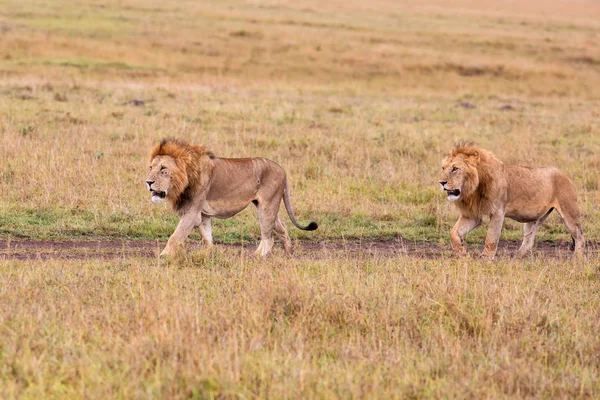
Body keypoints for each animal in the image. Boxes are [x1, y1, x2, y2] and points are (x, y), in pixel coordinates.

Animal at [146, 139, 318, 258]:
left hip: (267, 207)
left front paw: (163, 256)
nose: (148, 182)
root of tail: (282, 169)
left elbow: (175, 236)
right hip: (269, 206)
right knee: (282, 228)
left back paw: (258, 257)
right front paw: (208, 255)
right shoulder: (202, 215)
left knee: (269, 238)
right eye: (151, 168)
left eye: (163, 168)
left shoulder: (191, 213)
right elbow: (207, 238)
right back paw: (289, 254)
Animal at [438, 142, 584, 258]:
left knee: (580, 236)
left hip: (569, 212)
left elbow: (491, 238)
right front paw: (461, 252)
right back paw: (517, 258)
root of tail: (565, 175)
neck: (473, 189)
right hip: (534, 218)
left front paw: (486, 258)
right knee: (529, 241)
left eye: (455, 169)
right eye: (443, 168)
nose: (441, 182)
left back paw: (577, 258)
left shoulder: (498, 212)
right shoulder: (472, 214)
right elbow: (454, 232)